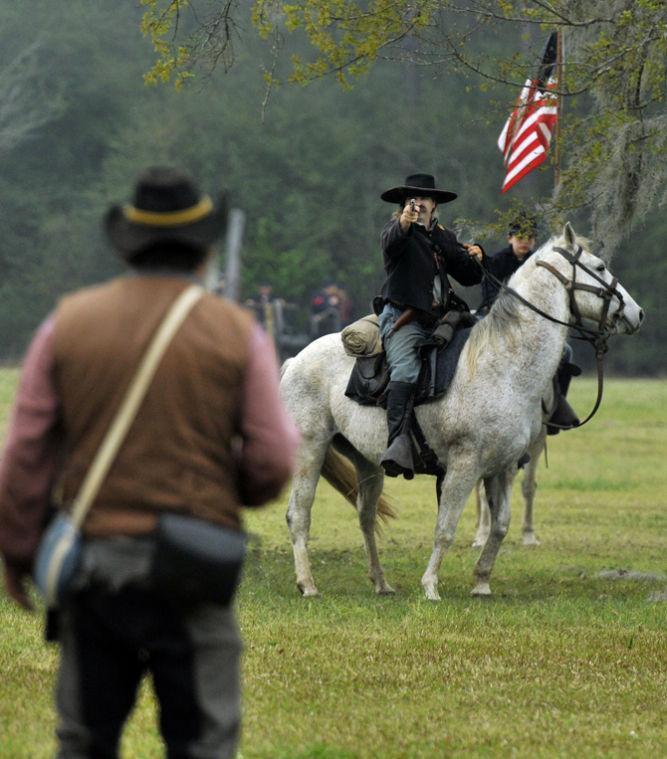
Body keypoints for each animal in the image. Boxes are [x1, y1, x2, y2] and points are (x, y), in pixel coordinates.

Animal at [280, 224, 640, 600]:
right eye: (599, 267)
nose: (637, 313)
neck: (503, 367)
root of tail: (294, 360)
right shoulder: (464, 465)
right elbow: (447, 526)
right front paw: (430, 587)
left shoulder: (503, 466)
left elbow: (500, 525)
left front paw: (481, 582)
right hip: (310, 448)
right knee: (299, 513)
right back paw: (307, 584)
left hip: (366, 460)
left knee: (366, 516)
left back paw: (380, 582)